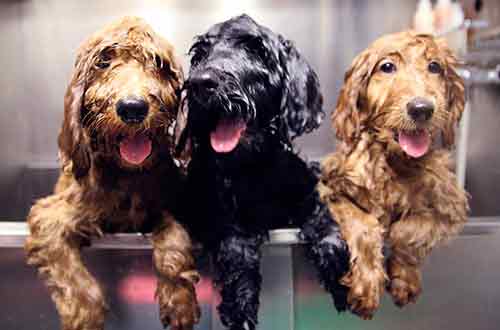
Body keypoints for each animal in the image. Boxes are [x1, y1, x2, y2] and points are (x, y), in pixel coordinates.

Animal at [23, 17, 199, 330]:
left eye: (157, 62)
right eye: (103, 61)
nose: (132, 108)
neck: (128, 175)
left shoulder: (176, 203)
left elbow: (174, 236)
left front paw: (179, 300)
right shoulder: (51, 215)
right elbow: (71, 273)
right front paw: (84, 316)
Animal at [178, 14, 350, 330]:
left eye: (256, 50)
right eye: (199, 55)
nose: (200, 82)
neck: (253, 169)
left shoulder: (306, 189)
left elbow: (324, 217)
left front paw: (340, 275)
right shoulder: (215, 213)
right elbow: (236, 247)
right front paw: (240, 305)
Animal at [320, 31, 468, 320]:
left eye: (435, 66)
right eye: (387, 67)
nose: (421, 108)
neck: (393, 162)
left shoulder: (453, 209)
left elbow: (406, 229)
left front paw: (404, 279)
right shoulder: (330, 189)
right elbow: (364, 222)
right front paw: (367, 285)